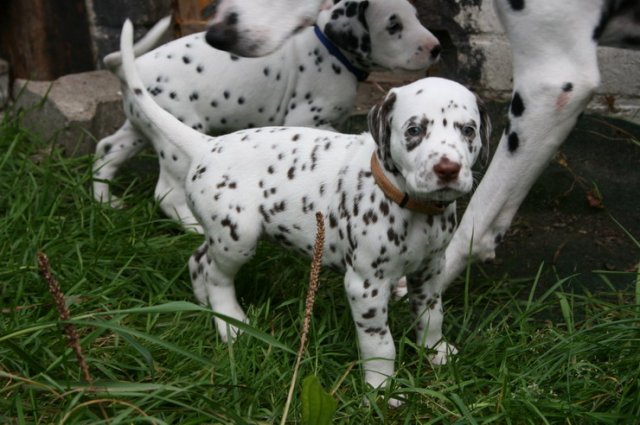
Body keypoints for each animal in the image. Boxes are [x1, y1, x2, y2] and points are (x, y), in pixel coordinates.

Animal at [93, 0, 441, 233]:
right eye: (393, 26)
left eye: (415, 16)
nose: (436, 48)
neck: (330, 50)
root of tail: (127, 68)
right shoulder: (305, 117)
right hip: (175, 139)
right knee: (165, 192)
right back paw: (193, 225)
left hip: (139, 128)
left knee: (106, 150)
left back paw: (105, 200)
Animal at [116, 18, 490, 396]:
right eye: (414, 130)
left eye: (468, 130)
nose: (448, 169)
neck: (412, 206)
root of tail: (207, 144)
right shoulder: (365, 285)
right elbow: (380, 343)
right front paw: (382, 388)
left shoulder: (430, 270)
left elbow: (431, 315)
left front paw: (437, 352)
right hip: (238, 238)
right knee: (215, 274)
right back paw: (231, 324)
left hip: (222, 235)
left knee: (198, 260)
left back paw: (207, 307)